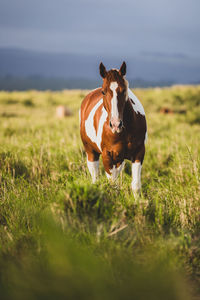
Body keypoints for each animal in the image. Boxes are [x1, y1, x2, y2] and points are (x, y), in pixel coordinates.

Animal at [79, 62, 147, 196]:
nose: (116, 124)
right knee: (95, 178)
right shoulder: (107, 157)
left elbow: (136, 186)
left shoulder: (138, 153)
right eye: (103, 92)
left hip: (119, 159)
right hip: (91, 153)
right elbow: (112, 186)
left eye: (124, 90)